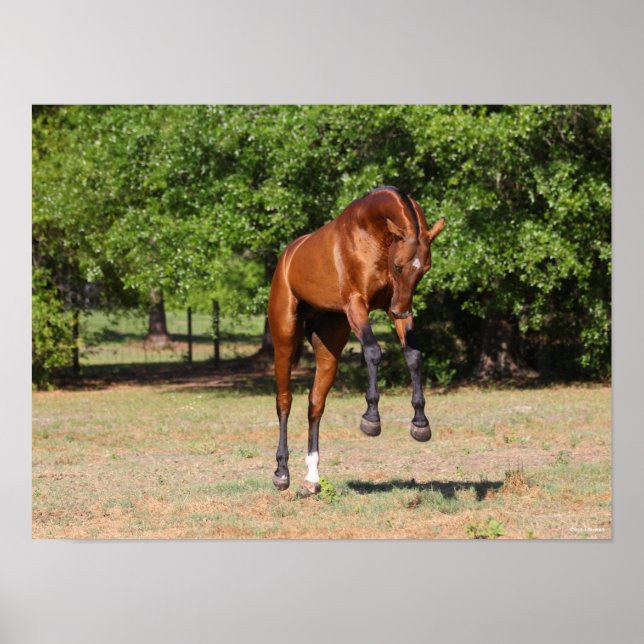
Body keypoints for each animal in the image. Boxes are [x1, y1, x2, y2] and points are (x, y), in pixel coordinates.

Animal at [267, 186, 445, 493]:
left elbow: (413, 354)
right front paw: (371, 418)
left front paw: (420, 423)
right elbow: (373, 351)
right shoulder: (357, 304)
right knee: (284, 401)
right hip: (285, 342)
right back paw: (282, 472)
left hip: (329, 349)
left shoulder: (394, 304)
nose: (401, 311)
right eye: (398, 266)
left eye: (425, 269)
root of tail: (287, 258)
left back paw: (312, 476)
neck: (372, 232)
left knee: (315, 403)